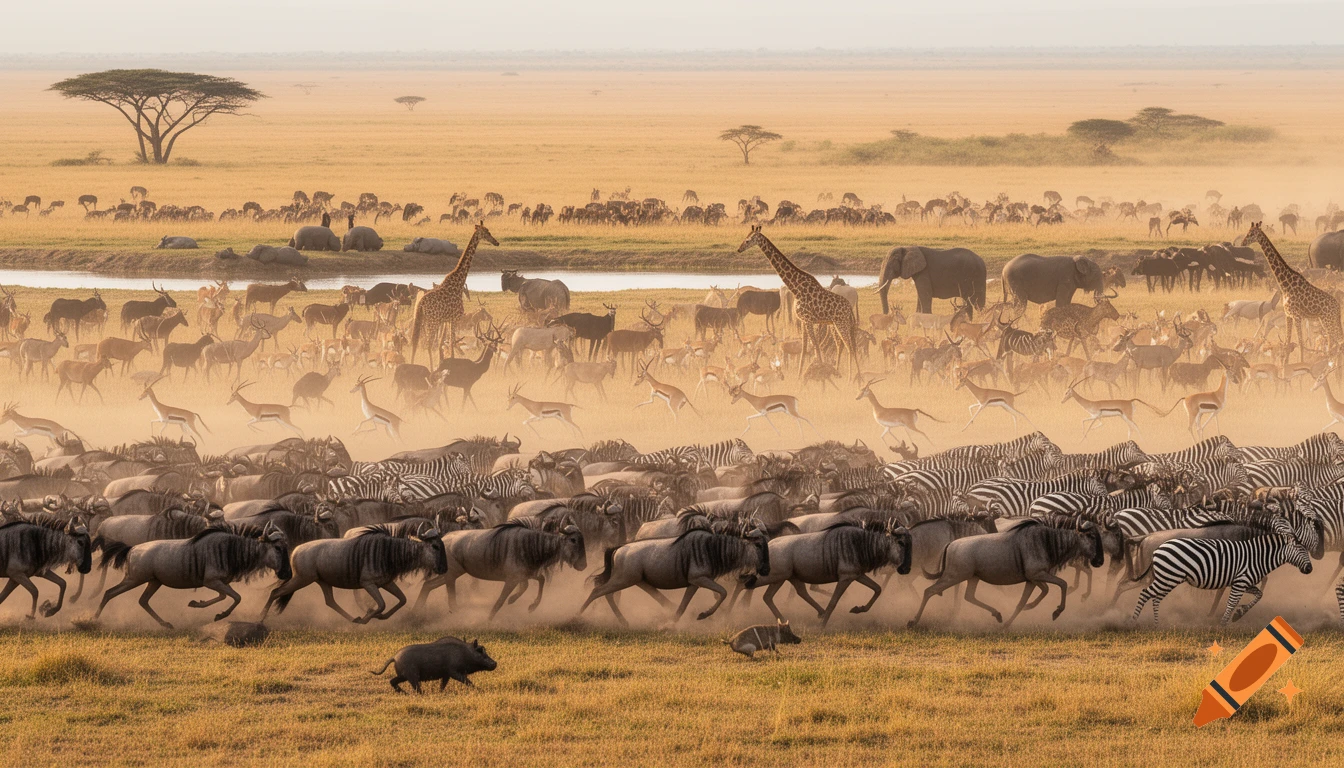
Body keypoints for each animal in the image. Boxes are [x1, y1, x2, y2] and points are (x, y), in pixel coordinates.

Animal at [409, 222, 498, 364]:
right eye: (487, 232)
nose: (496, 242)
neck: (459, 282)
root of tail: (421, 304)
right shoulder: (455, 318)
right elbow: (451, 343)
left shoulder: (446, 320)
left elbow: (444, 343)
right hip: (433, 321)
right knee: (428, 343)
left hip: (424, 320)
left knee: (416, 342)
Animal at [737, 225, 860, 378]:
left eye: (748, 240)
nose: (739, 249)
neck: (796, 287)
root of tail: (849, 309)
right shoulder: (803, 320)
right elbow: (804, 349)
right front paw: (799, 376)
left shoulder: (808, 320)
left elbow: (816, 348)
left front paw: (819, 374)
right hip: (840, 324)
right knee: (848, 346)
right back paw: (856, 376)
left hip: (840, 323)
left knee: (849, 347)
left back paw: (850, 378)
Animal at [1130, 516, 1313, 625]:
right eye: (1300, 549)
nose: (1310, 568)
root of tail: (1150, 541)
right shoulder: (1235, 578)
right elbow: (1229, 599)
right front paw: (1221, 621)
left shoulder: (1238, 579)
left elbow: (1257, 595)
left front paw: (1237, 614)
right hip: (1164, 577)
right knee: (1145, 593)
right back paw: (1134, 620)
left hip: (1166, 578)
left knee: (1153, 596)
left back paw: (1156, 623)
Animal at [1243, 220, 1343, 361]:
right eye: (1248, 231)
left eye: (1251, 233)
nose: (1243, 242)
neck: (1285, 284)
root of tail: (1337, 306)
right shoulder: (1288, 315)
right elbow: (1288, 340)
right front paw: (1286, 363)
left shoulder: (1296, 315)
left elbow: (1300, 342)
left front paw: (1301, 362)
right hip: (1326, 320)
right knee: (1336, 340)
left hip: (1327, 320)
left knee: (1338, 340)